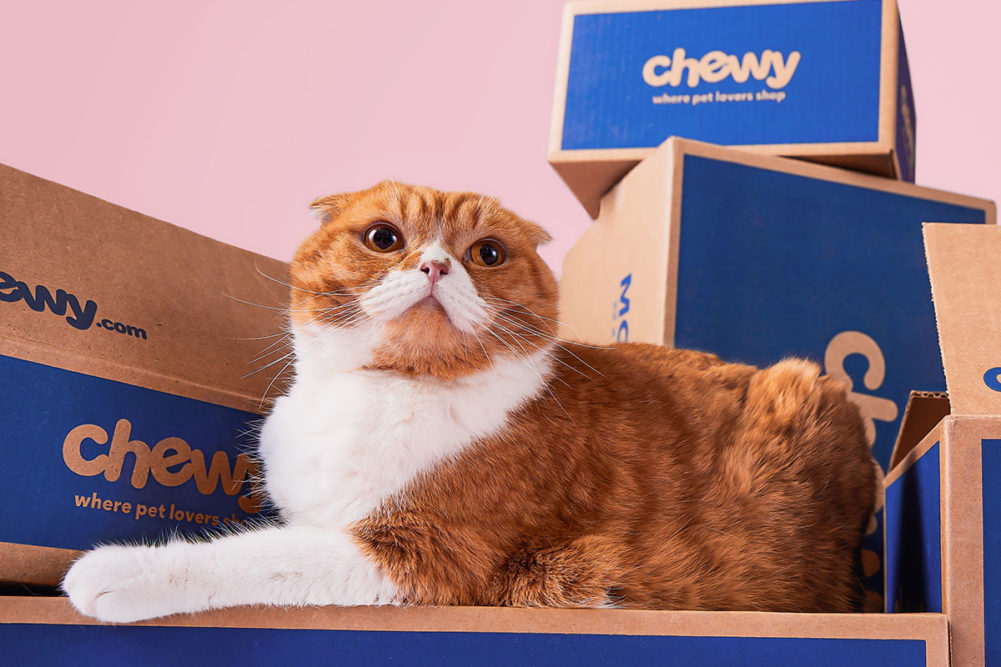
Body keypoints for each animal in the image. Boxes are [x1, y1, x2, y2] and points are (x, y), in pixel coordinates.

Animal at [62, 180, 876, 616]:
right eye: (384, 237)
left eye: (487, 253)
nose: (434, 265)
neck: (382, 393)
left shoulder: (428, 554)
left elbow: (255, 555)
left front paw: (111, 572)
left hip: (803, 382)